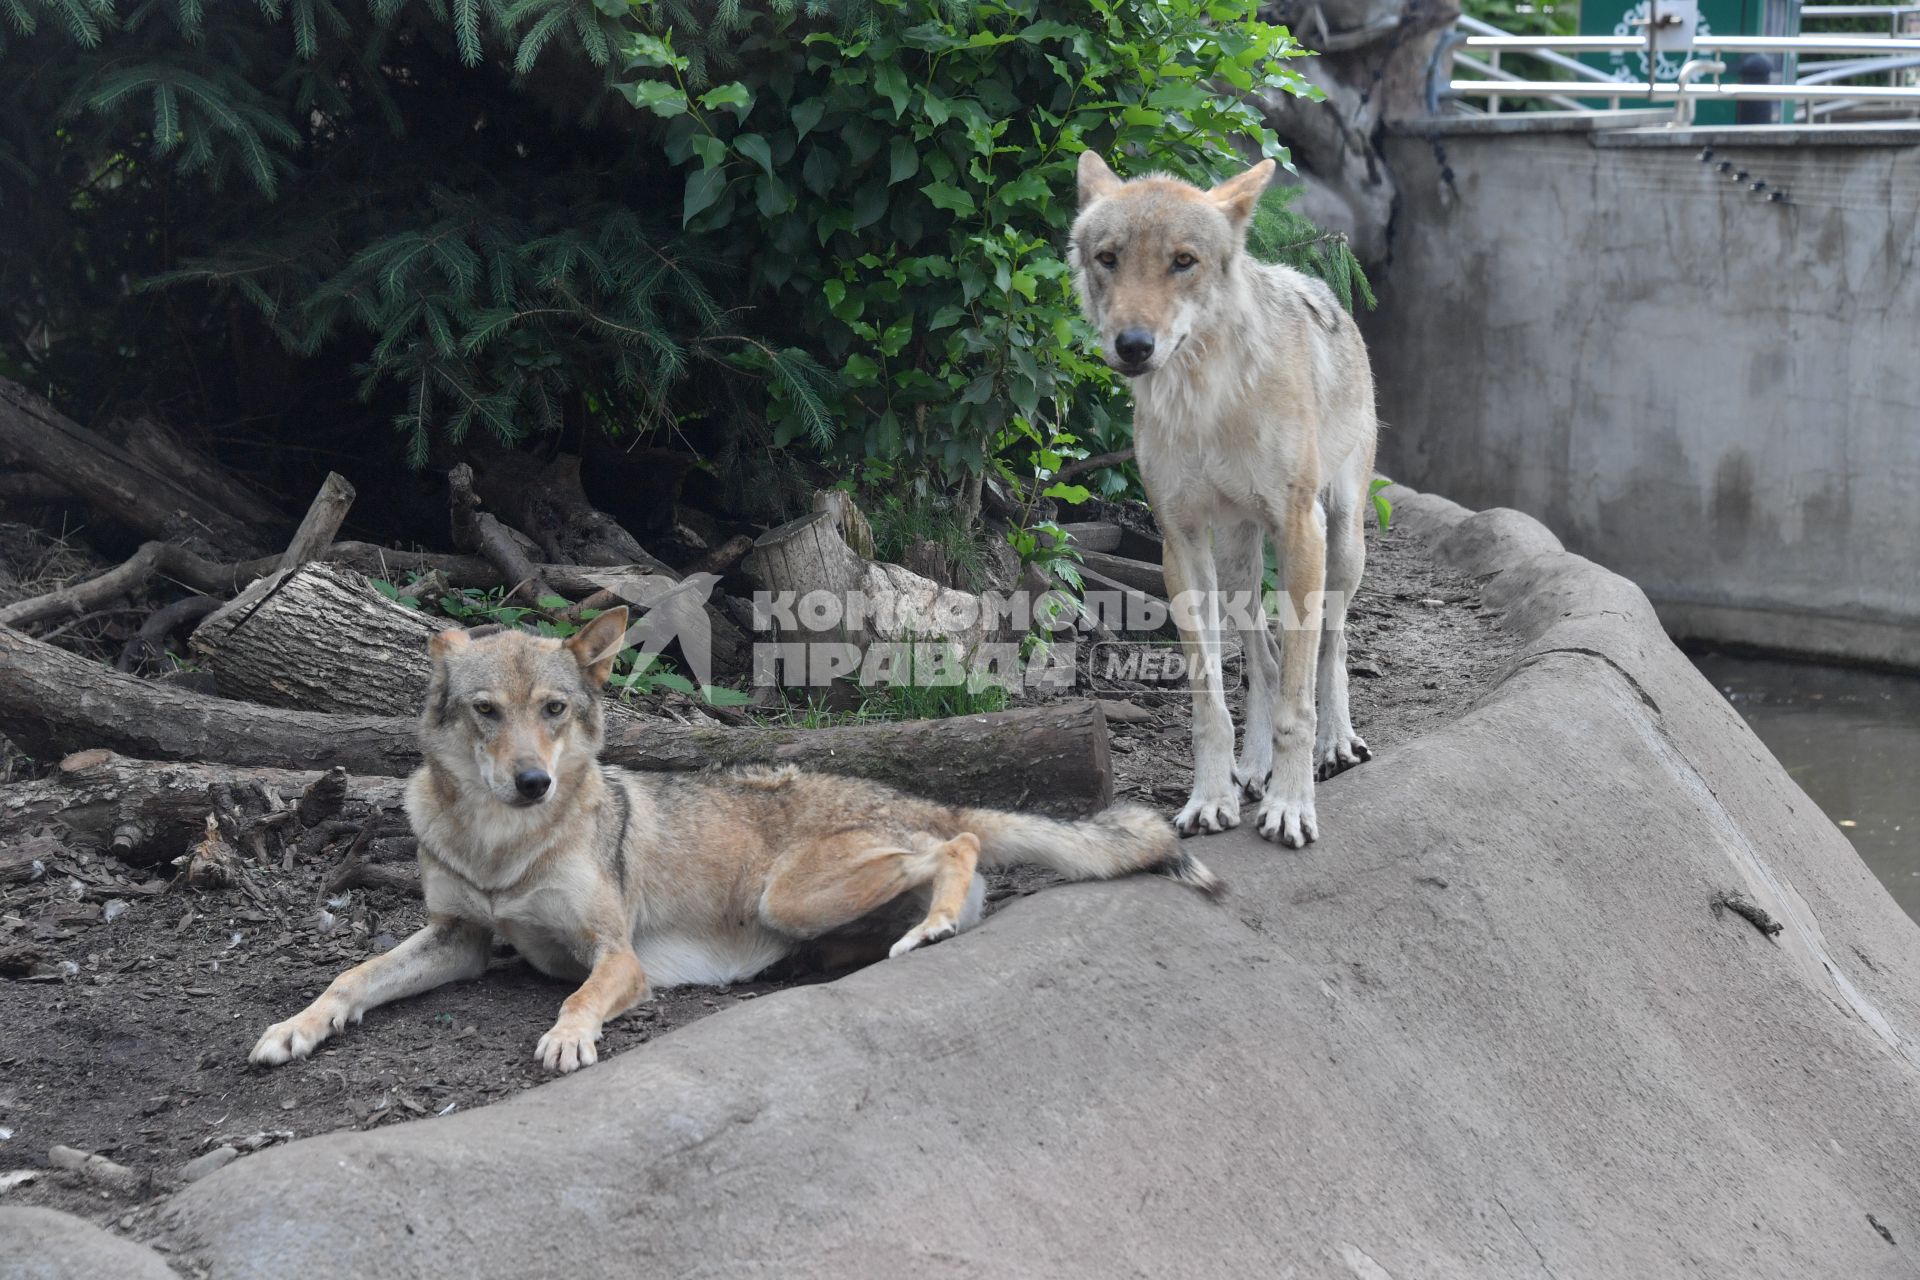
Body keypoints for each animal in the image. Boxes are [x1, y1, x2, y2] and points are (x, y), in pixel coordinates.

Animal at [251, 610, 1213, 1074]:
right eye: (487, 712)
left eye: (553, 710)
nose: (533, 782)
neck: (501, 845)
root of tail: (924, 798)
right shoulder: (461, 938)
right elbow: (351, 977)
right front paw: (296, 1028)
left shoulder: (617, 955)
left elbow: (578, 997)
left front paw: (569, 1039)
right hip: (810, 907)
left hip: (791, 891)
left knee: (958, 850)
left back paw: (932, 924)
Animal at [1067, 152, 1382, 852]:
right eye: (1108, 258)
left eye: (1183, 261)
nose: (1133, 344)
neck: (1204, 400)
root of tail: (1322, 288)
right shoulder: (1179, 542)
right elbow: (1211, 698)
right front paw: (1211, 798)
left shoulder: (1300, 531)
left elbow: (1298, 700)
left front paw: (1291, 807)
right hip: (1239, 567)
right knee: (1261, 659)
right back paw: (1253, 768)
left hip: (1341, 545)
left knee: (1333, 646)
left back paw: (1336, 744)